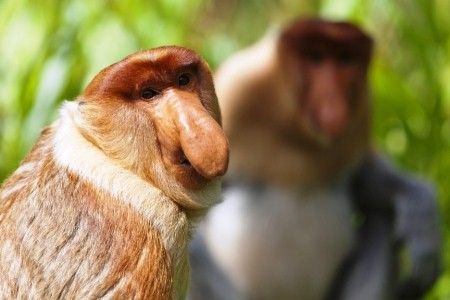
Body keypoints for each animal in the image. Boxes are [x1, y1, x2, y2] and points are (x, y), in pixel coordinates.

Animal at [188, 19, 442, 300]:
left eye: (345, 59)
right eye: (315, 58)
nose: (333, 103)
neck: (297, 132)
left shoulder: (362, 111)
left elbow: (360, 177)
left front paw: (420, 207)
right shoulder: (237, 89)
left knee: (382, 217)